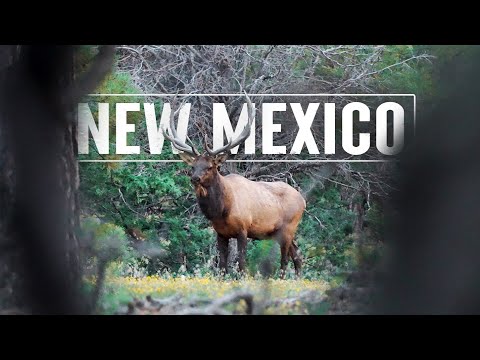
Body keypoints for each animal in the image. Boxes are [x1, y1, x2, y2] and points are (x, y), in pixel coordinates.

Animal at [163, 94, 306, 278]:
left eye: (210, 166)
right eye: (193, 166)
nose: (195, 178)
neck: (221, 210)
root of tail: (303, 200)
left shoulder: (243, 229)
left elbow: (241, 264)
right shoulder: (221, 233)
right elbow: (223, 266)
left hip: (289, 227)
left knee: (285, 260)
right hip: (283, 232)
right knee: (297, 255)